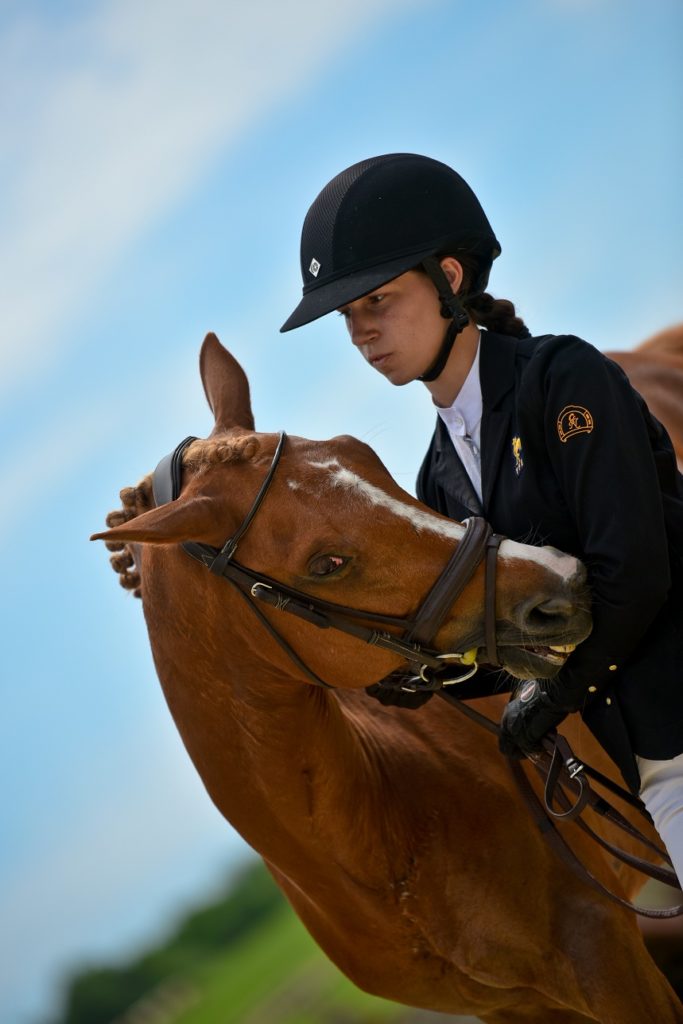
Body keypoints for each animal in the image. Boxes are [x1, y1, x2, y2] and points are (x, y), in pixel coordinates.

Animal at [92, 329, 683, 1024]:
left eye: (363, 453)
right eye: (327, 563)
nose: (561, 581)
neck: (379, 840)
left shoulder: (603, 953)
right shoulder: (519, 1004)